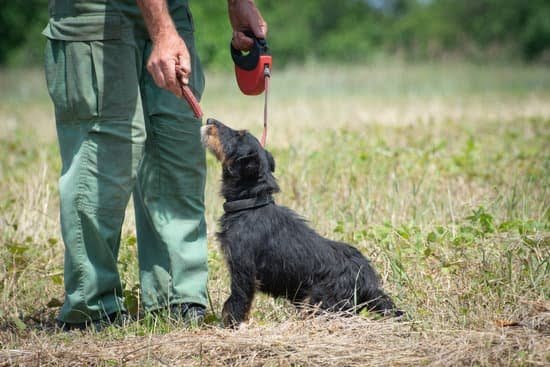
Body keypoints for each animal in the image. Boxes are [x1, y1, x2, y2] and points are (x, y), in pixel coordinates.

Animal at [201, 118, 404, 328]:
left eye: (238, 135)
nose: (209, 120)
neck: (250, 204)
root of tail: (369, 282)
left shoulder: (243, 271)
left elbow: (235, 302)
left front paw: (230, 326)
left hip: (319, 302)